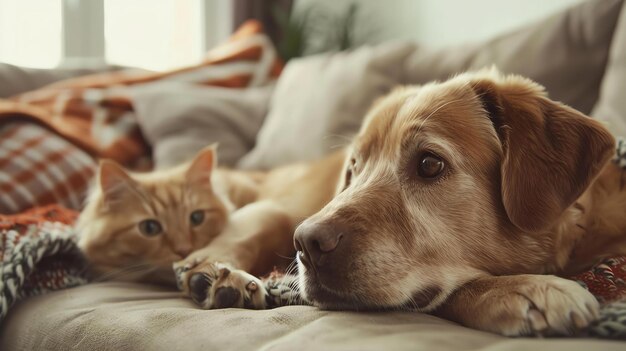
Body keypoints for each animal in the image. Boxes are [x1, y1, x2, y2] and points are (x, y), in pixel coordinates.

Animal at [179, 69, 620, 338]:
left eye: (429, 164)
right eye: (354, 169)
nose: (305, 243)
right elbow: (459, 287)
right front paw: (525, 289)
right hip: (273, 213)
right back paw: (219, 276)